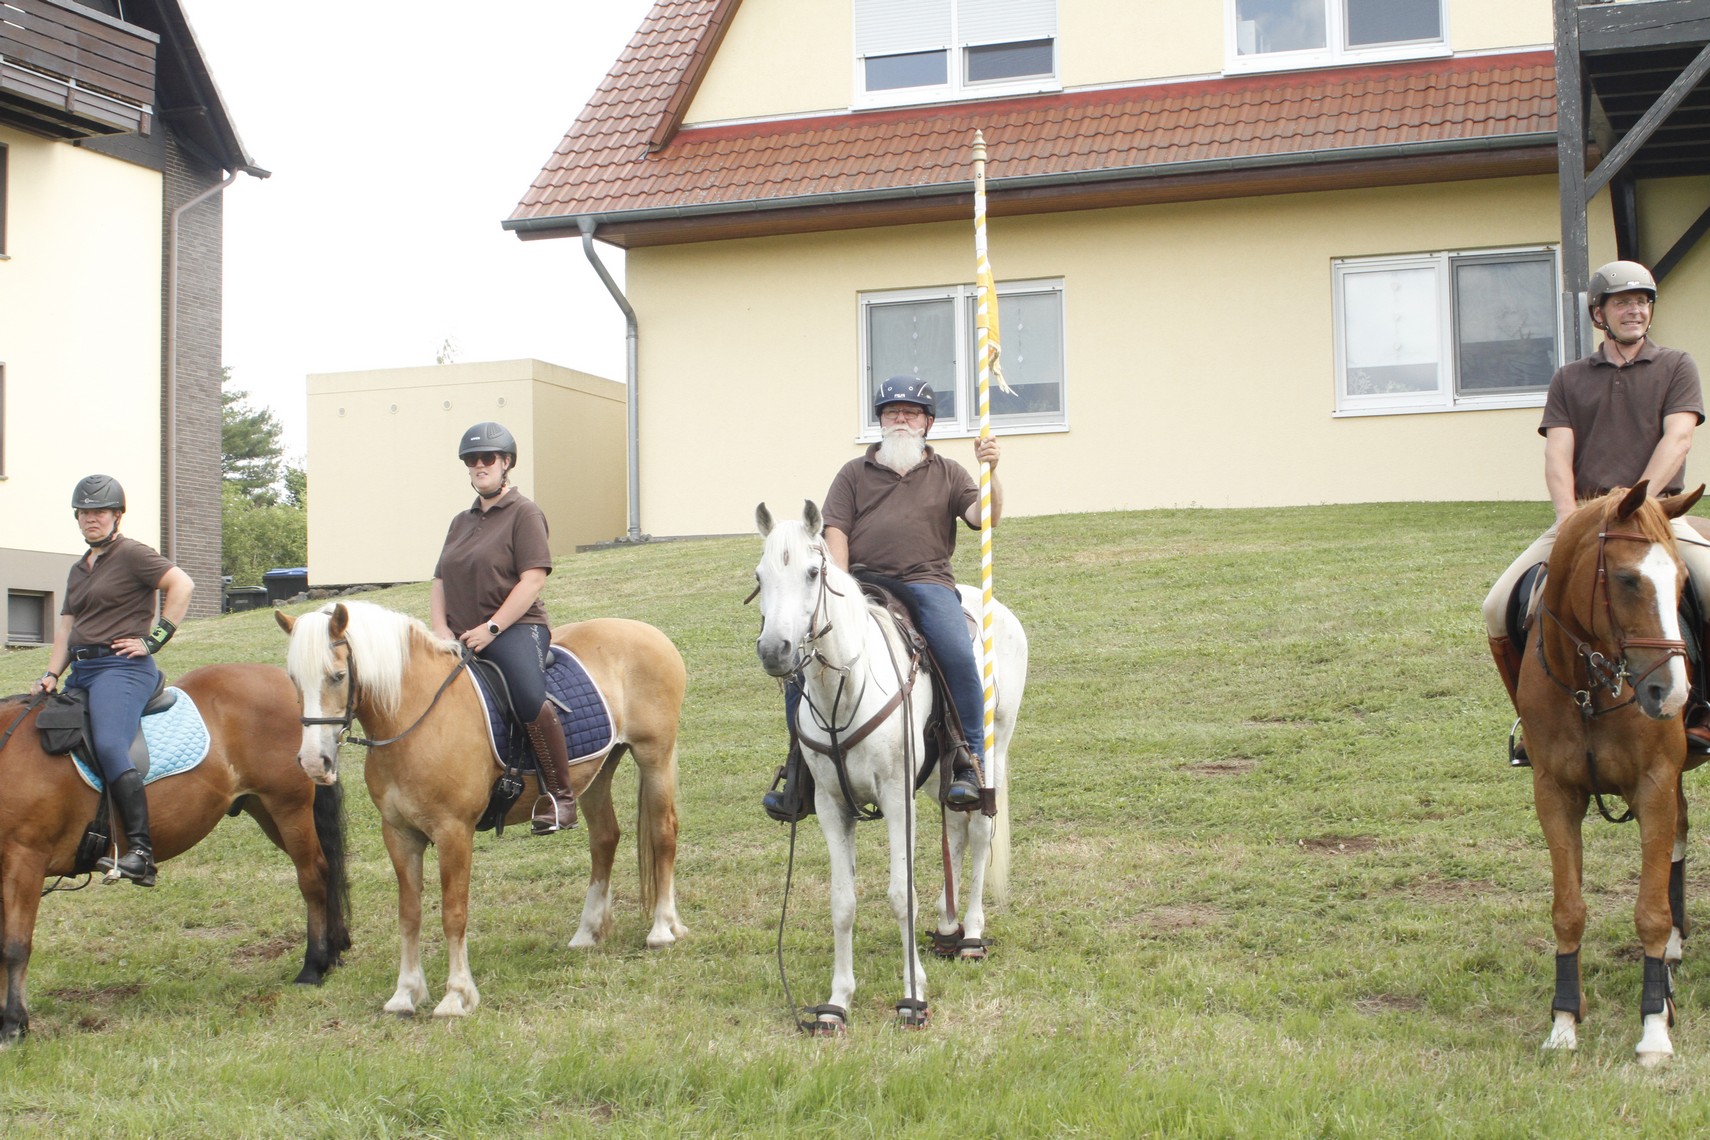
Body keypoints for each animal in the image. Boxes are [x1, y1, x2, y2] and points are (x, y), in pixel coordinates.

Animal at [0, 663, 352, 1044]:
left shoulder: (25, 861)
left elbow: (15, 946)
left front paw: (14, 1024)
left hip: (288, 806)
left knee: (314, 877)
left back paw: (313, 966)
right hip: (264, 809)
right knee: (327, 870)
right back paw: (332, 953)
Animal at [276, 600, 687, 1018]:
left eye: (338, 675)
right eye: (293, 679)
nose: (314, 763)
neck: (415, 716)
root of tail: (648, 631)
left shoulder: (454, 832)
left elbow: (453, 913)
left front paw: (457, 995)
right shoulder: (399, 833)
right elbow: (409, 915)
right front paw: (405, 993)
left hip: (654, 756)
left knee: (663, 833)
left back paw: (662, 929)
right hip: (597, 772)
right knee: (604, 838)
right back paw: (588, 932)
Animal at [753, 500, 1027, 1032]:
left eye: (813, 572)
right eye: (760, 575)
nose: (775, 650)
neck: (846, 691)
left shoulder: (897, 797)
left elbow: (902, 895)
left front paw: (912, 995)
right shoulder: (831, 805)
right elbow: (842, 902)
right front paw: (837, 1002)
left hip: (994, 752)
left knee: (979, 830)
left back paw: (971, 934)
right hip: (940, 773)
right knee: (954, 826)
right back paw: (947, 925)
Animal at [1517, 481, 1709, 1065]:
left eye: (1682, 581)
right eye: (1626, 579)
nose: (1672, 694)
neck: (1589, 688)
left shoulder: (1653, 785)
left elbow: (1649, 912)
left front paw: (1654, 1028)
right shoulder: (1555, 793)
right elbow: (1568, 909)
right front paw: (1563, 1022)